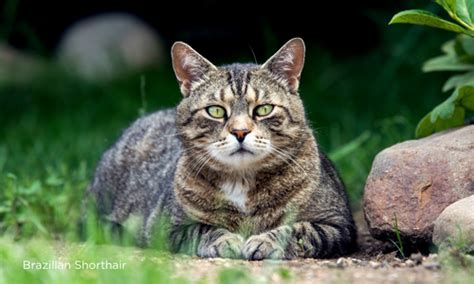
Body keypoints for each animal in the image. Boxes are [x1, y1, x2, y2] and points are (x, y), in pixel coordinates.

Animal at [87, 37, 358, 260]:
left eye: (263, 109)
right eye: (216, 111)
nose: (240, 131)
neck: (242, 180)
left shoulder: (337, 224)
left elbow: (299, 229)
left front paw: (265, 241)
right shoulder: (167, 227)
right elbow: (204, 229)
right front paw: (227, 240)